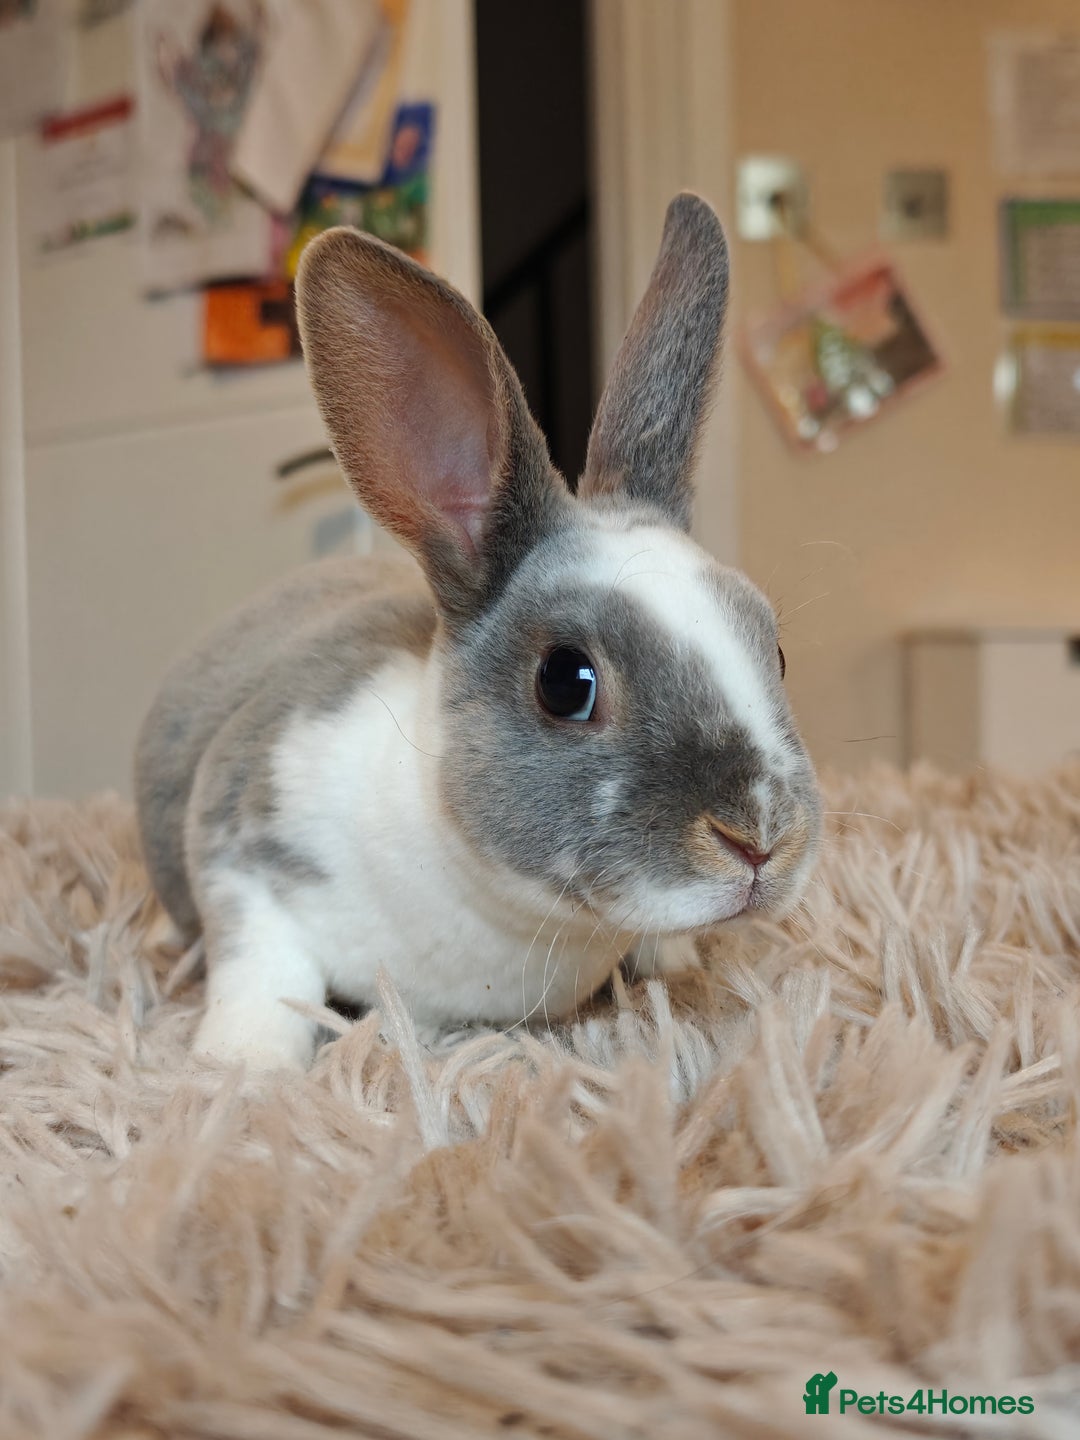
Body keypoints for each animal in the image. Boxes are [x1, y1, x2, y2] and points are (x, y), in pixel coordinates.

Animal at [134, 192, 823, 1071]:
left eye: (776, 651)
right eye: (565, 681)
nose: (762, 838)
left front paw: (673, 960)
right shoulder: (243, 842)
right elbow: (264, 976)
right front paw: (240, 1066)